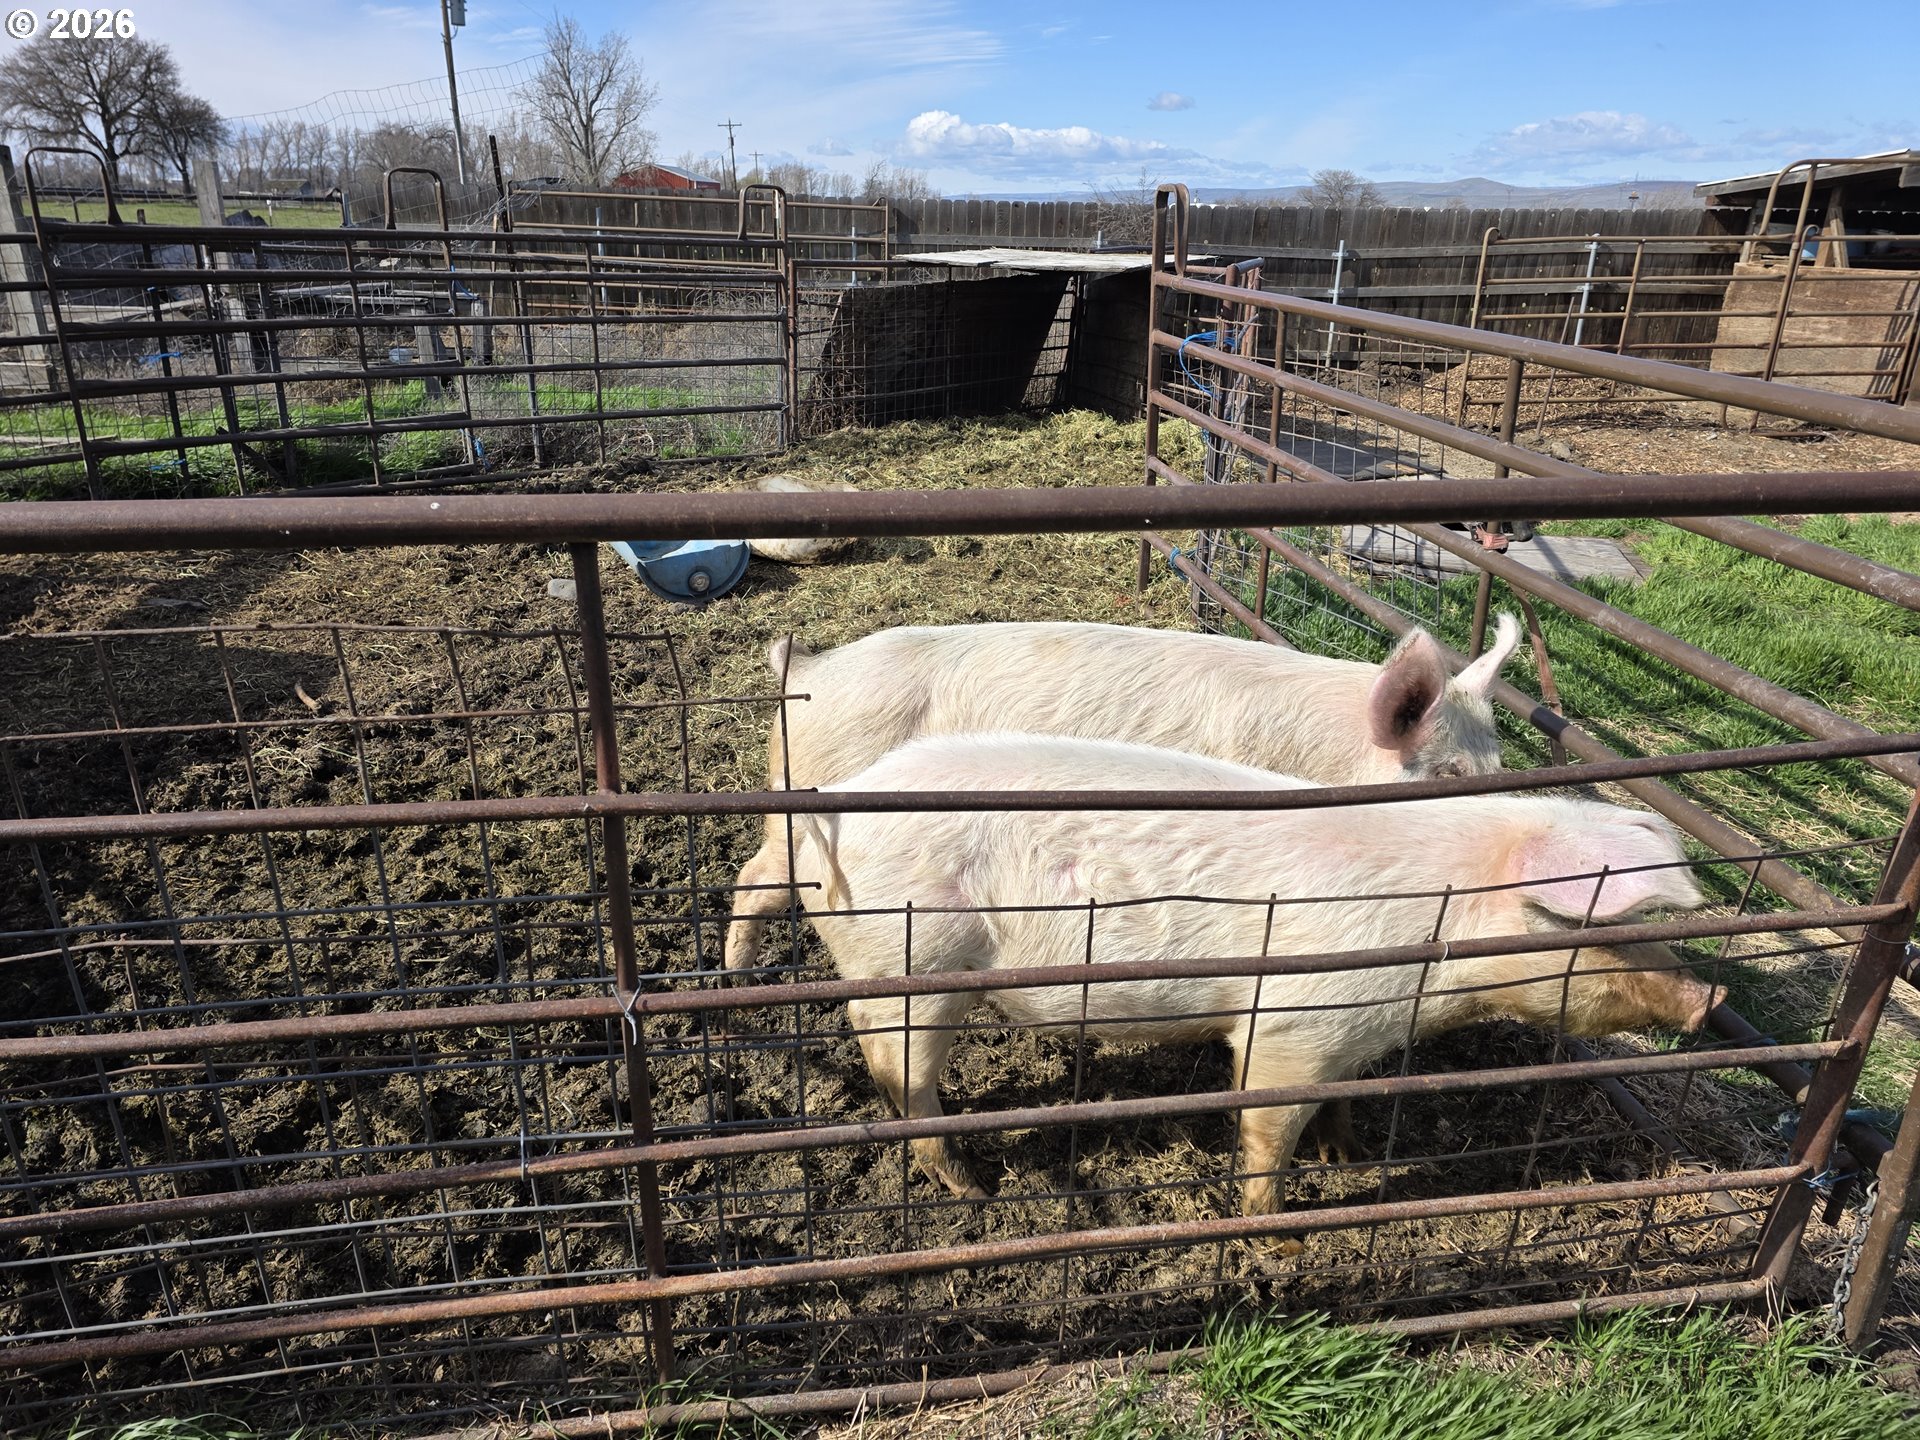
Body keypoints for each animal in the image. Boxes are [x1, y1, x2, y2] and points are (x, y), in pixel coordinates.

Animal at [783, 733, 1718, 1216]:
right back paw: (976, 1187)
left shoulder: (1355, 1034)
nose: (1711, 996)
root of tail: (821, 825)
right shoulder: (1294, 1021)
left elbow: (1341, 1101)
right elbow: (1268, 1120)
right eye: (1601, 925)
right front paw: (1277, 1231)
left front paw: (1348, 1156)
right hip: (913, 966)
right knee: (901, 1080)